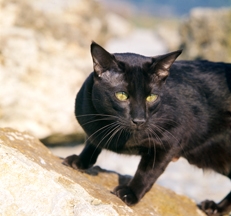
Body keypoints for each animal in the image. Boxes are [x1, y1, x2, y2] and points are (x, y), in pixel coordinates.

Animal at [63, 41, 231, 215]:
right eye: (122, 95)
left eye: (151, 97)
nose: (139, 120)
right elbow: (92, 142)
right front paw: (80, 161)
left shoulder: (170, 142)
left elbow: (147, 172)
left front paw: (130, 193)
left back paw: (216, 208)